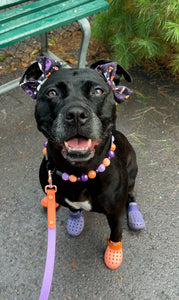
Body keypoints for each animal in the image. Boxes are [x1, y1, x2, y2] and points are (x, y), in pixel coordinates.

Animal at [20, 56, 145, 270]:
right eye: (52, 93)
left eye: (98, 91)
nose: (76, 114)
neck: (79, 172)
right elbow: (74, 208)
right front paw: (75, 220)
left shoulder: (115, 214)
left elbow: (116, 233)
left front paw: (113, 253)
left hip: (132, 173)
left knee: (131, 195)